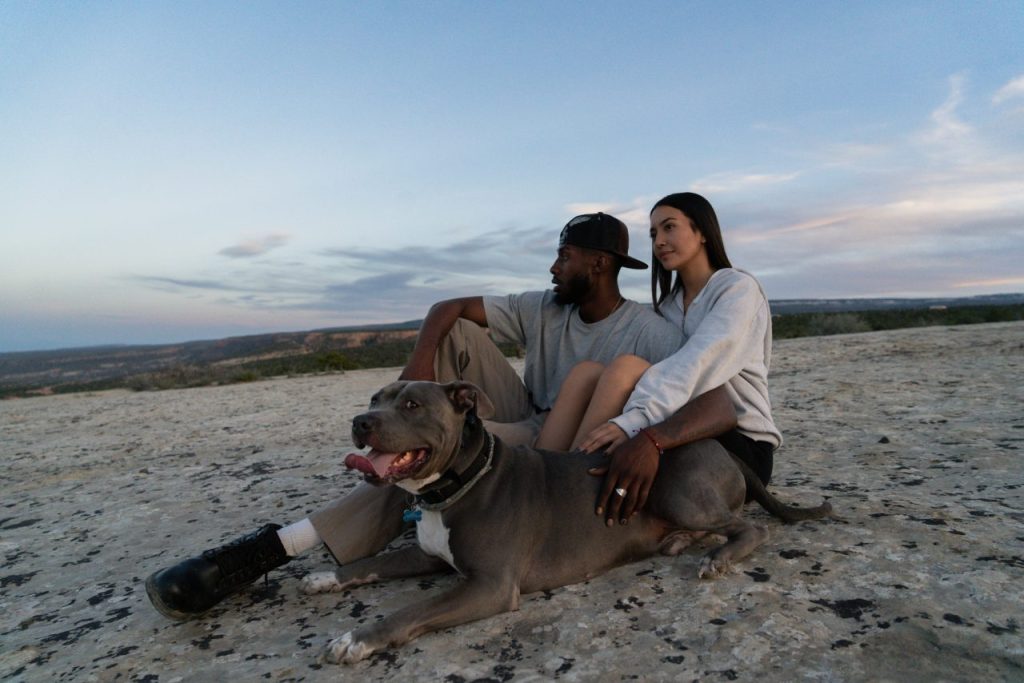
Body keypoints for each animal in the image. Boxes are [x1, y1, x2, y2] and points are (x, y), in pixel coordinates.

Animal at [299, 378, 831, 663]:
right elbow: (370, 565)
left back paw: (717, 557)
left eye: (411, 404)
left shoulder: (490, 586)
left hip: (679, 492)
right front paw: (326, 577)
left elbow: (409, 612)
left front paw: (354, 639)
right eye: (375, 399)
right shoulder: (430, 554)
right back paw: (682, 542)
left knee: (750, 527)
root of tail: (720, 446)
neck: (455, 484)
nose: (360, 421)